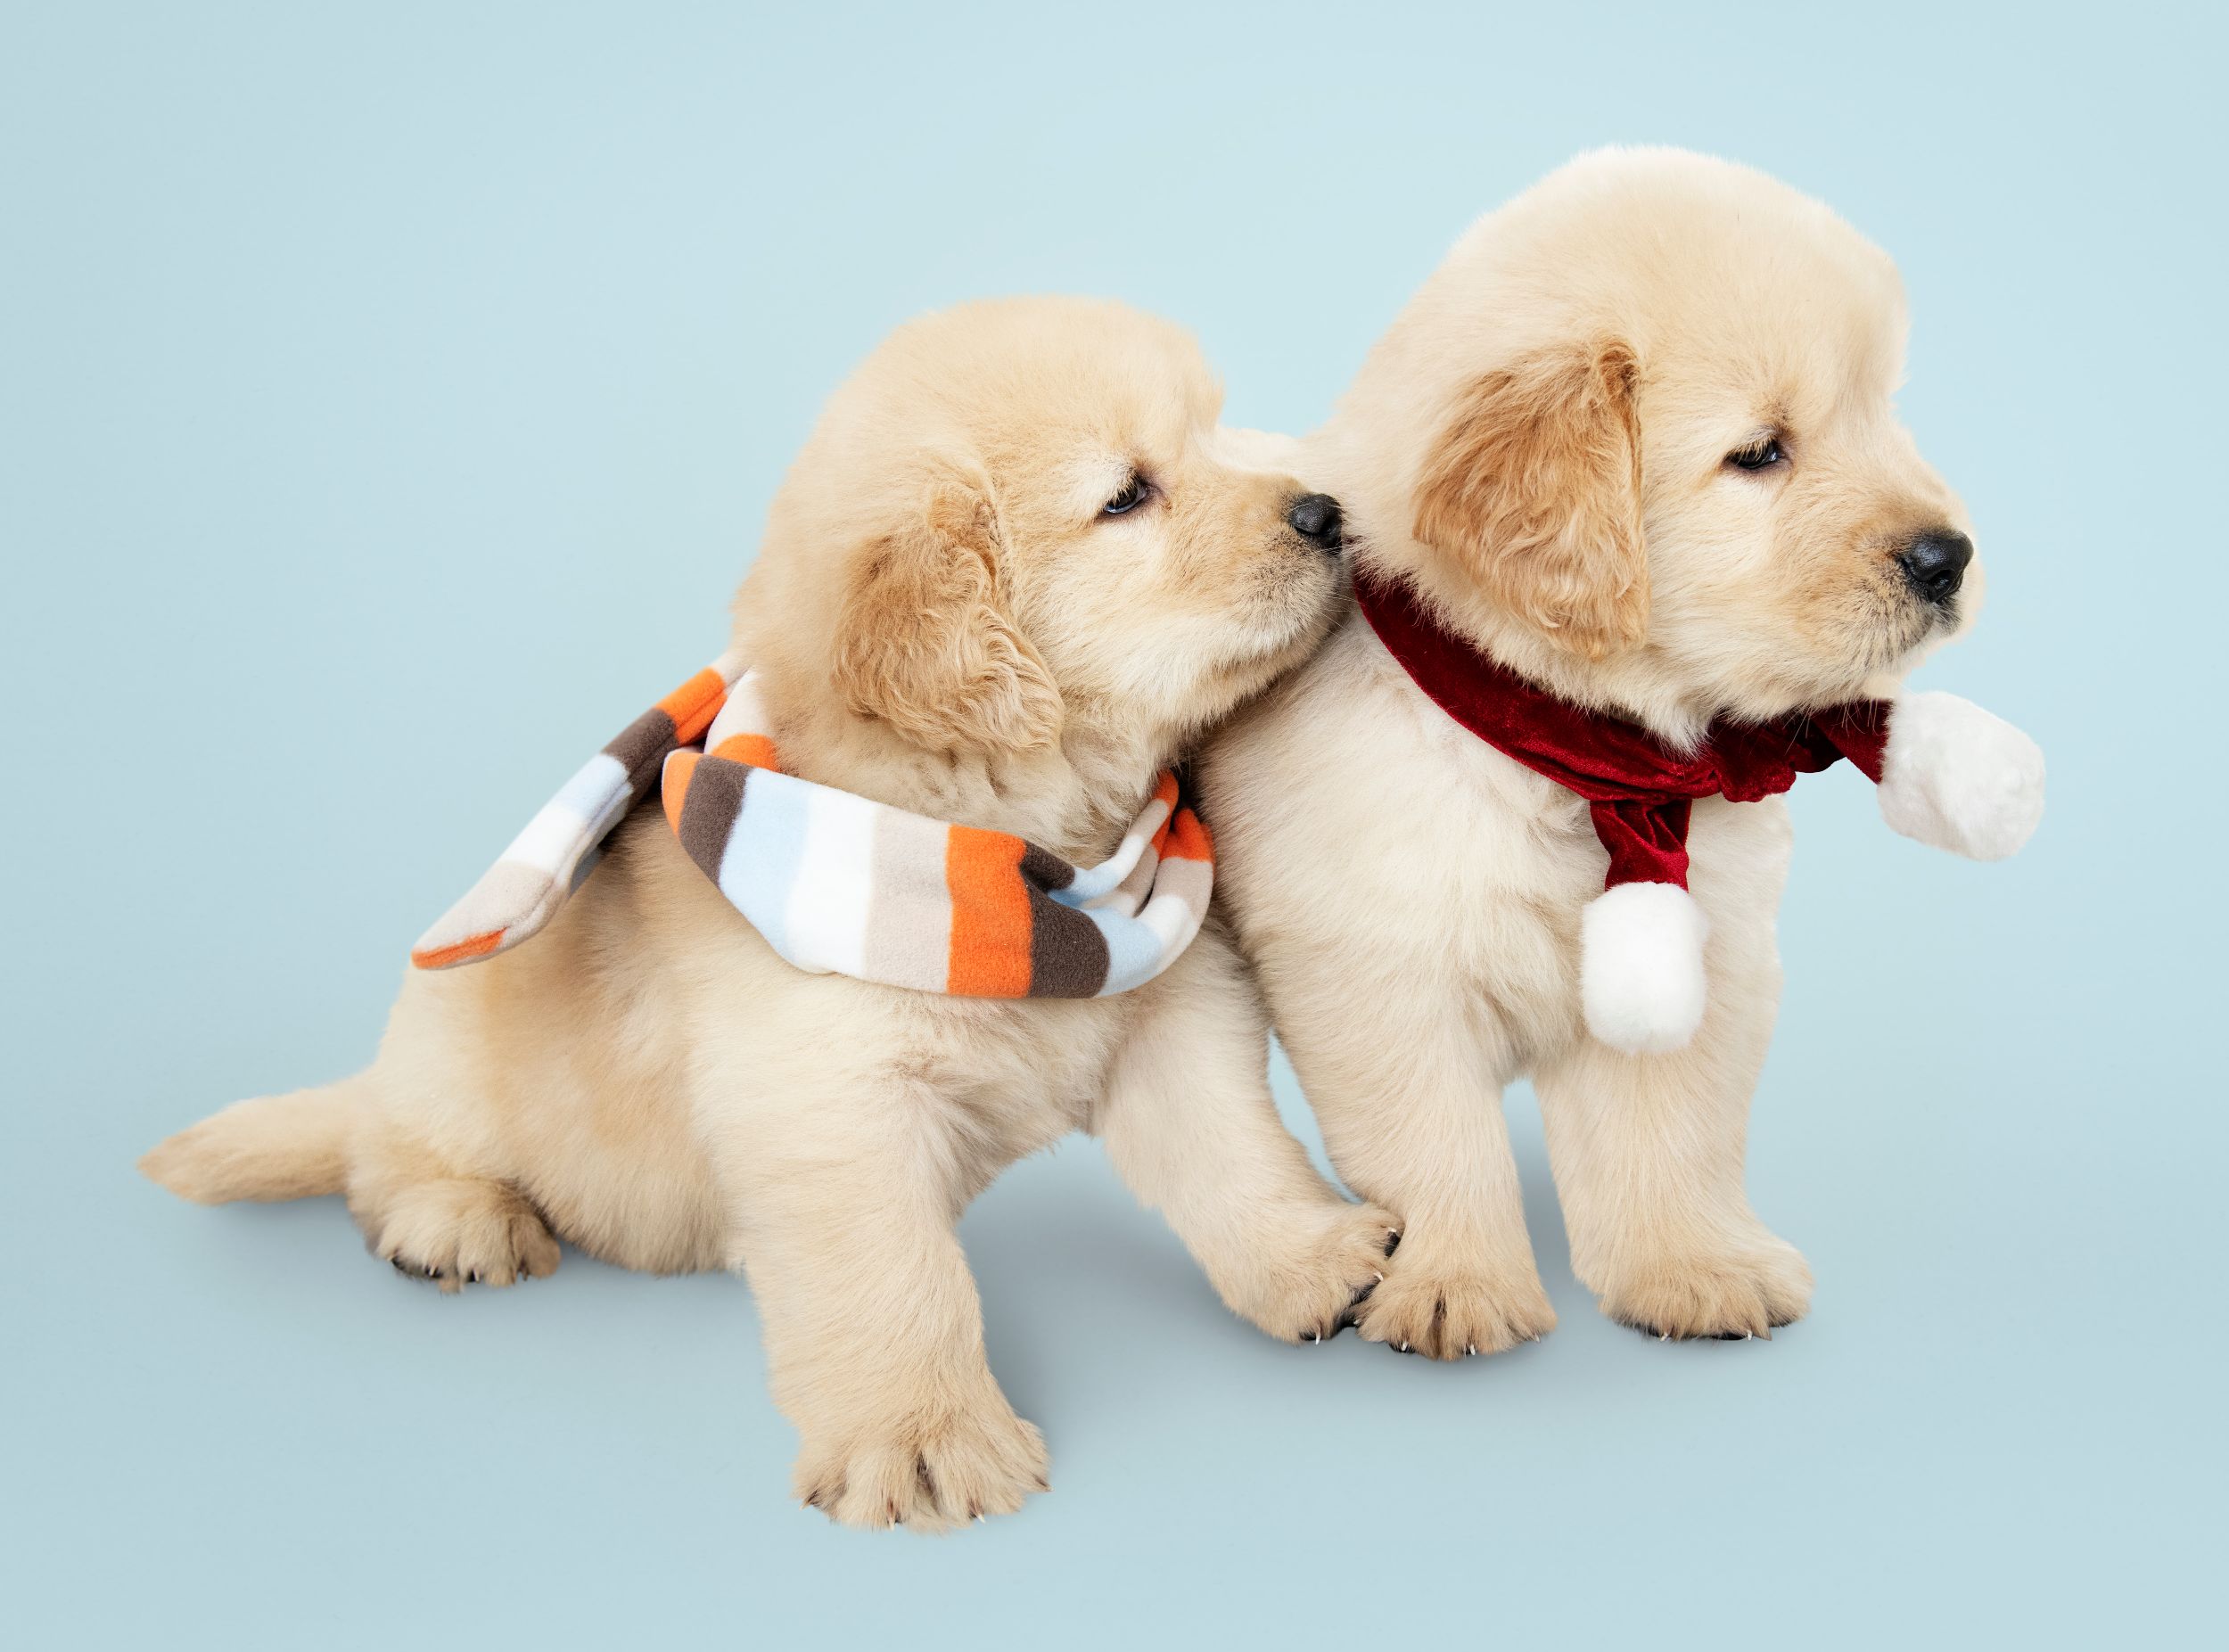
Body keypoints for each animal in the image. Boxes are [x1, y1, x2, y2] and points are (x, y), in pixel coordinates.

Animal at [144, 294, 1391, 1525]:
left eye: (1218, 430)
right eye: (1127, 494)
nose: (1326, 511)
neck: (1011, 859)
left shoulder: (1171, 1017)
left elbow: (1233, 1148)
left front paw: (1317, 1258)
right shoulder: (832, 1102)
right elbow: (897, 1280)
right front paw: (922, 1437)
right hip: (454, 1031)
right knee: (386, 1146)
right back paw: (454, 1216)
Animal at [1204, 144, 2042, 1355]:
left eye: (1881, 413)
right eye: (1759, 453)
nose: (1949, 556)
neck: (1583, 756)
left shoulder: (1709, 951)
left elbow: (1667, 1135)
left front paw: (1689, 1268)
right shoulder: (1376, 969)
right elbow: (1433, 1143)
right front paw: (1457, 1281)